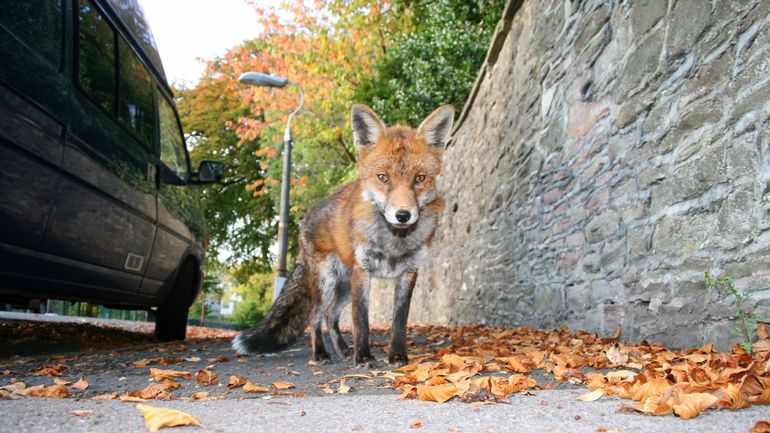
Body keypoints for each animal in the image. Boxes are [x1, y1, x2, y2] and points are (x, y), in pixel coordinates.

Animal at [231, 103, 452, 362]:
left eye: (419, 178)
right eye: (383, 177)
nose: (403, 215)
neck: (393, 243)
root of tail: (309, 214)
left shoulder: (408, 273)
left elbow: (399, 321)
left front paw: (397, 355)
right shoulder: (363, 272)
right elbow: (361, 321)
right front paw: (364, 357)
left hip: (345, 285)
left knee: (330, 315)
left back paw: (343, 349)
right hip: (327, 281)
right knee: (315, 316)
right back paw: (321, 353)